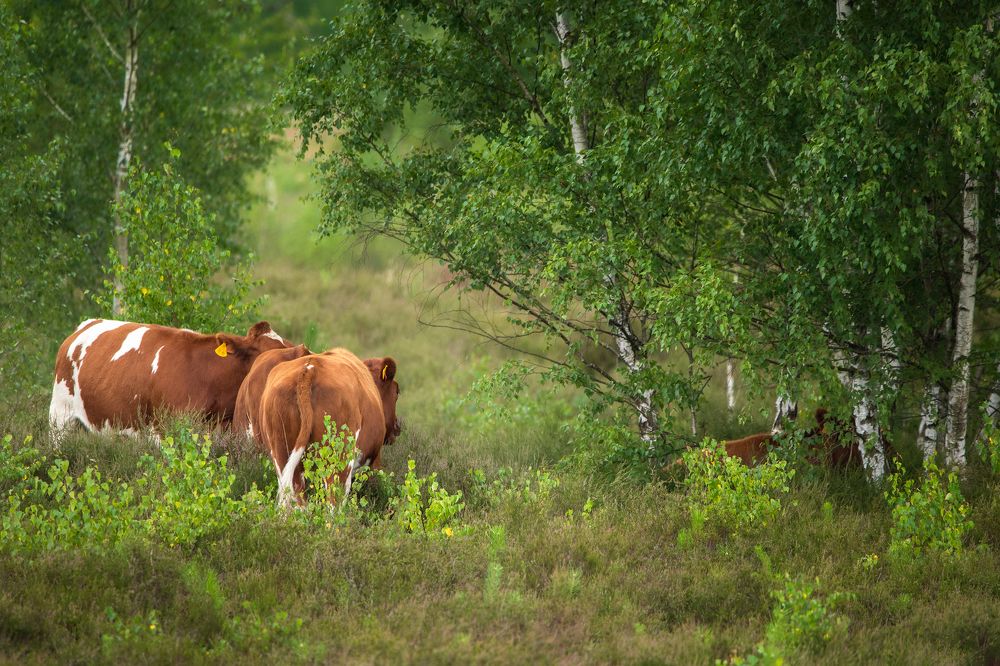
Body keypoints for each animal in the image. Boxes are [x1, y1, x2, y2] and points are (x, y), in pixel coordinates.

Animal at [254, 348, 401, 508]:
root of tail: (309, 368)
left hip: (281, 454)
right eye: (397, 392)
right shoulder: (374, 462)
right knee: (334, 500)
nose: (397, 426)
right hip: (339, 460)